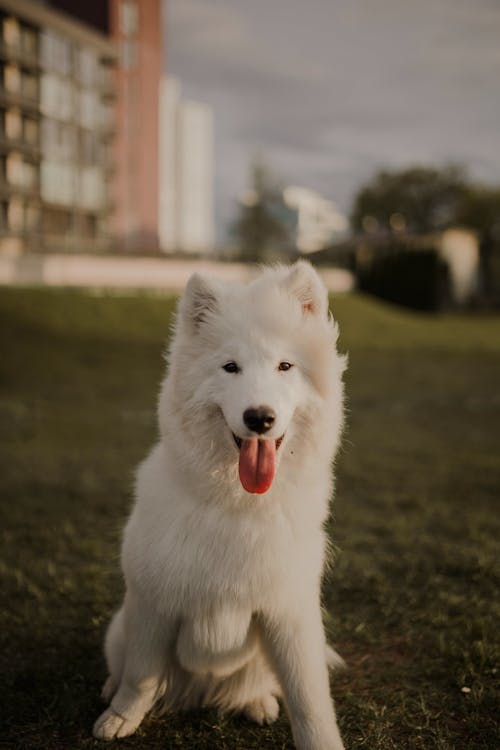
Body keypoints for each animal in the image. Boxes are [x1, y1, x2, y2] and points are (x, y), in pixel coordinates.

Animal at [93, 262, 348, 750]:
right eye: (231, 368)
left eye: (285, 366)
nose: (259, 418)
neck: (238, 504)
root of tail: (203, 691)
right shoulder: (156, 605)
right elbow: (140, 677)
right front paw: (120, 718)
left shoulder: (289, 613)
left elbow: (309, 699)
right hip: (120, 627)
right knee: (126, 669)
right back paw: (111, 691)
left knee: (260, 685)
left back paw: (259, 703)